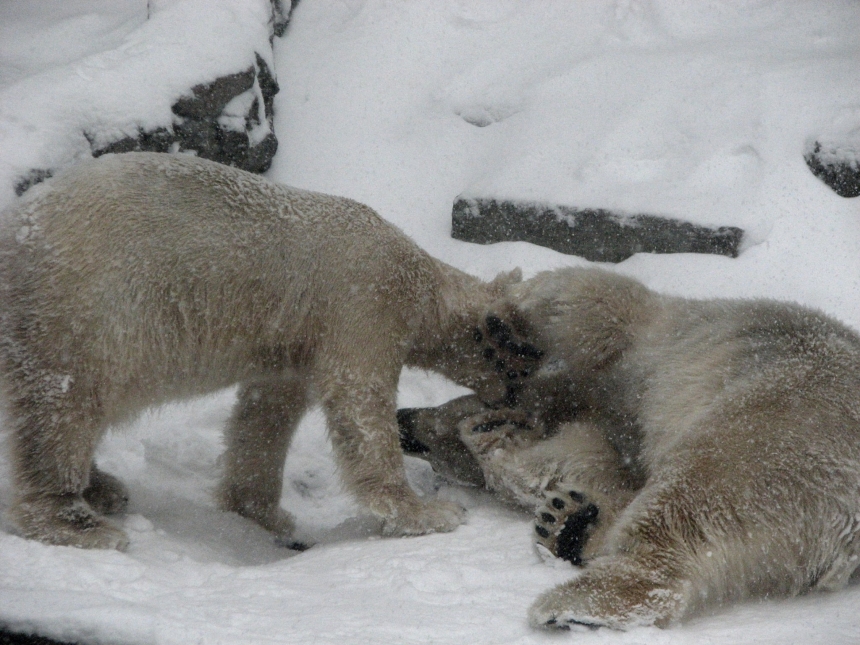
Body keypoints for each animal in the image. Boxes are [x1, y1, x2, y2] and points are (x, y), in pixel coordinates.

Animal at [0, 151, 544, 548]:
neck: (421, 282)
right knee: (66, 406)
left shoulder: (295, 341)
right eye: (520, 369)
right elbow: (360, 401)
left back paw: (103, 486)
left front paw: (263, 511)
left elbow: (267, 412)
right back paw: (80, 519)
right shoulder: (365, 304)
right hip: (86, 310)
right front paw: (429, 512)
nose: (510, 401)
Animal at [400, 266, 860, 628]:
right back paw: (570, 526)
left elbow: (592, 299)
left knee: (697, 496)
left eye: (436, 435)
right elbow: (592, 459)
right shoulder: (611, 425)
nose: (404, 421)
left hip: (781, 426)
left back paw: (572, 601)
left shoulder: (646, 344)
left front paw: (504, 332)